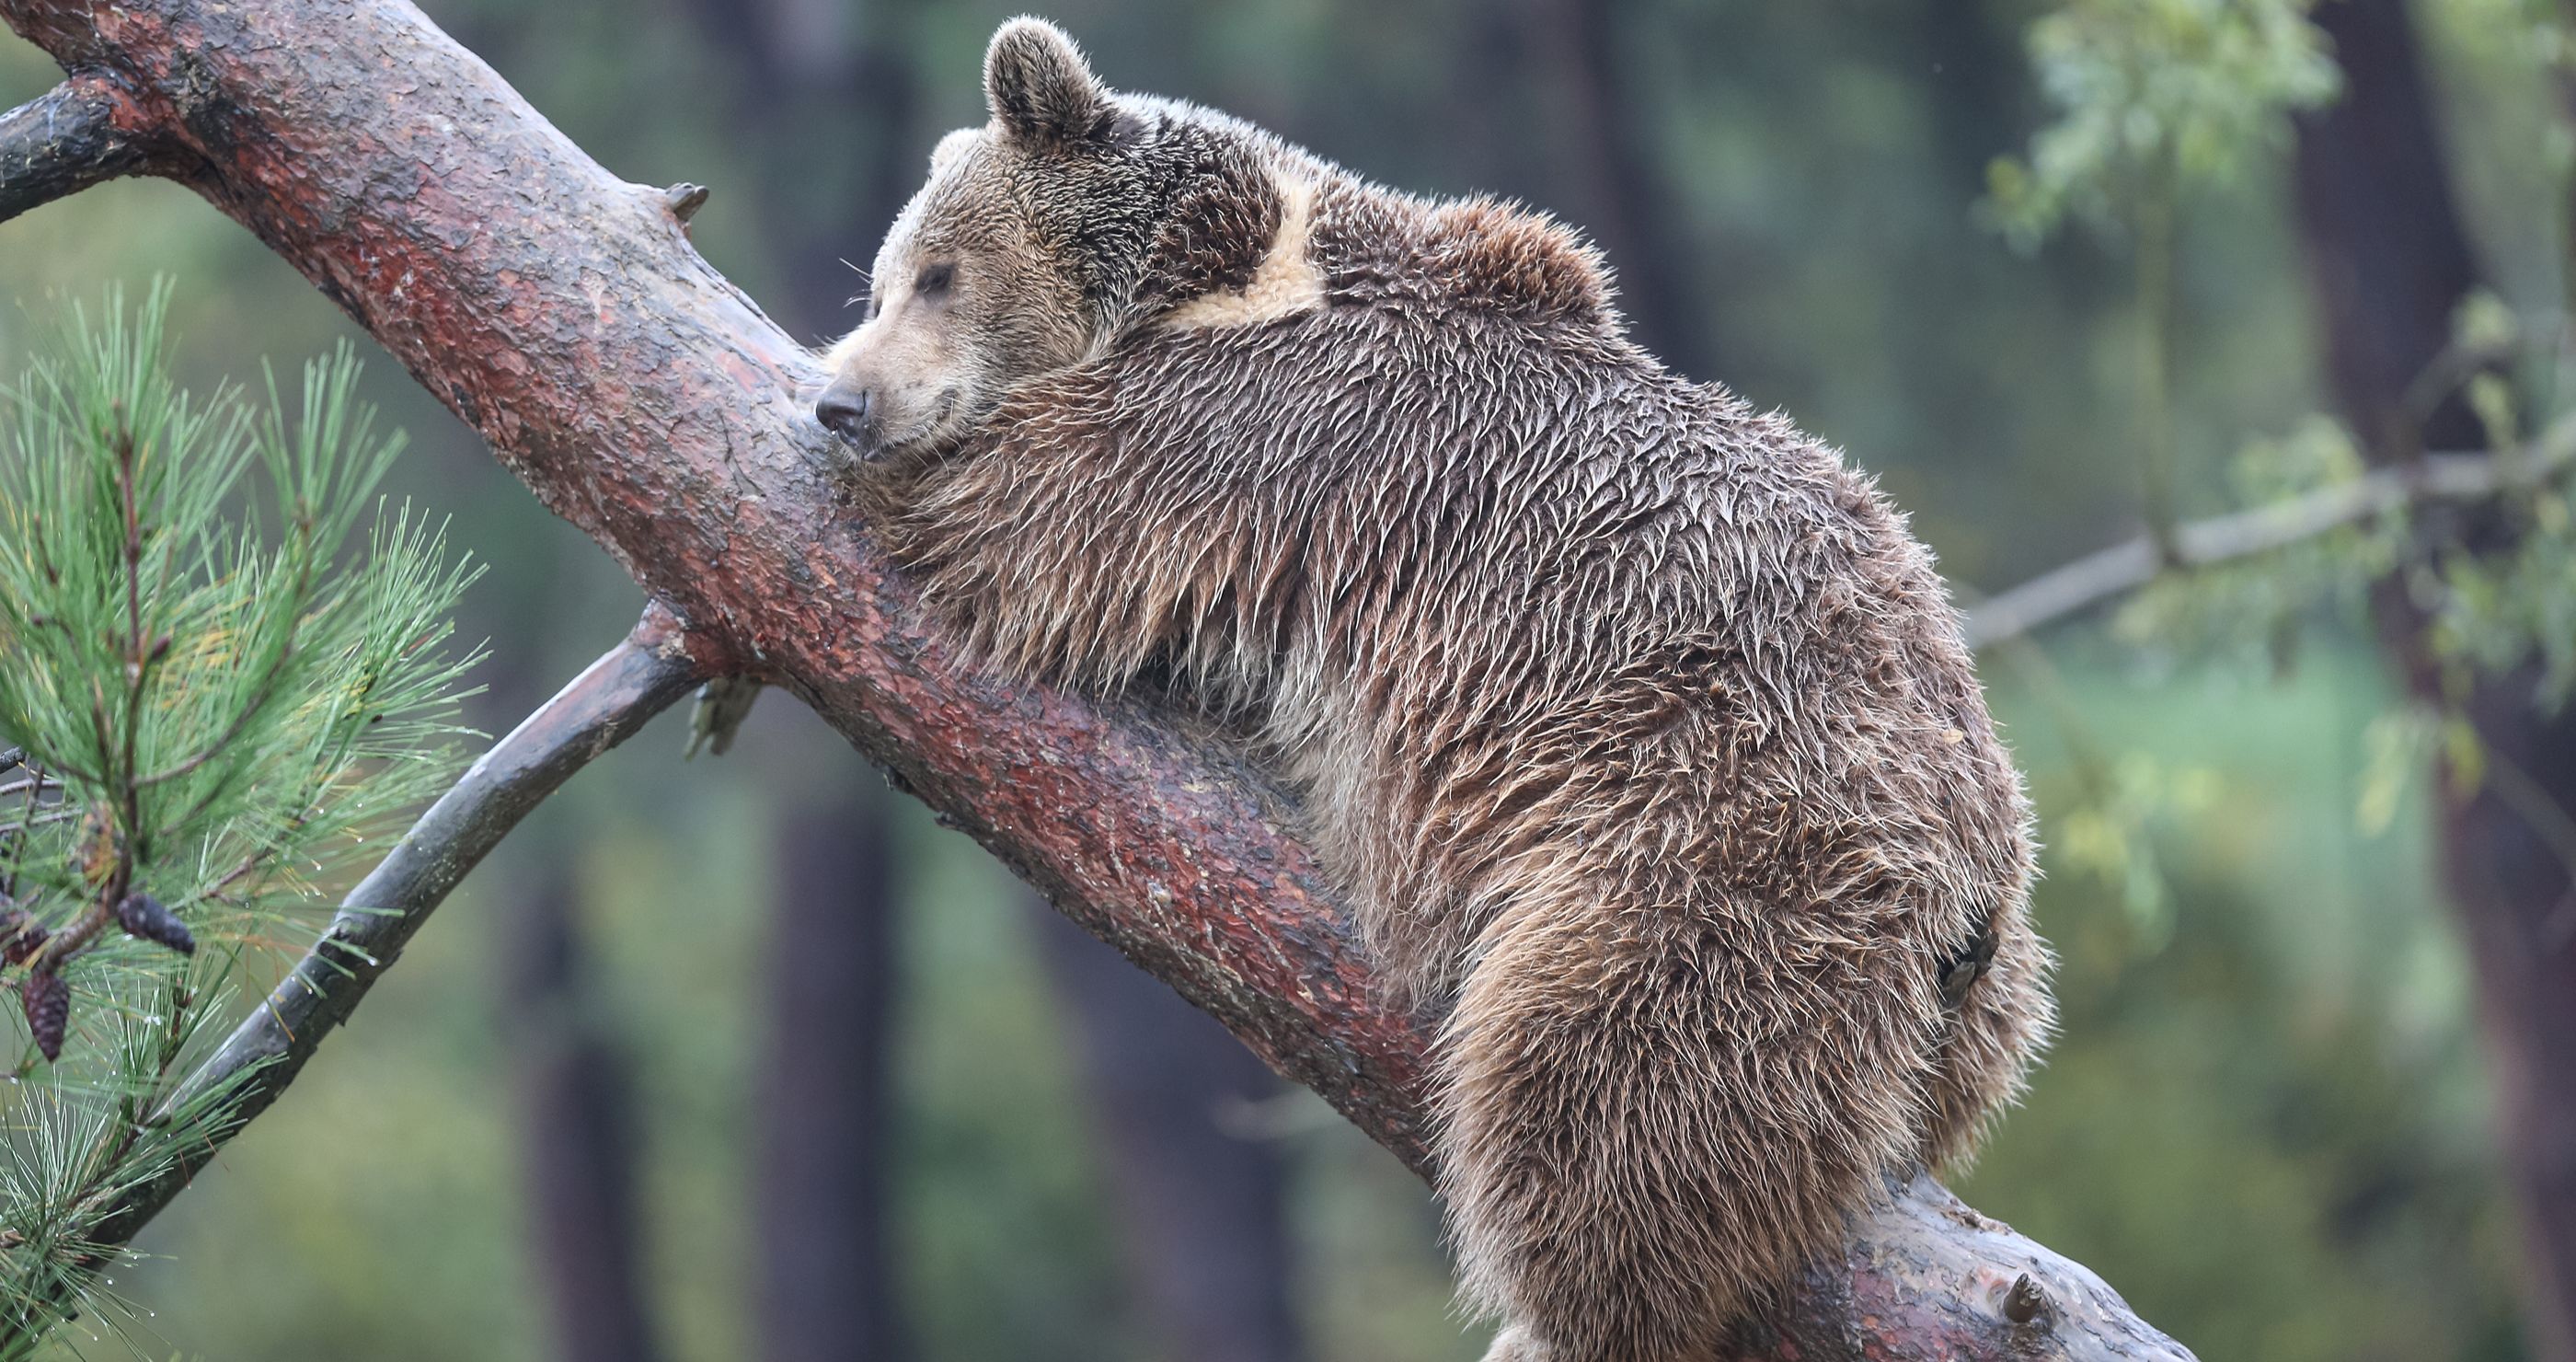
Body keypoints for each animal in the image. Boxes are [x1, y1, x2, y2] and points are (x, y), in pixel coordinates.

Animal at [815, 19, 2051, 1361]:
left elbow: (1018, 515)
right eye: (880, 282)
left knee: (1592, 1088)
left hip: (1713, 850)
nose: (844, 399)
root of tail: (1968, 882)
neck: (1224, 270)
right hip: (1979, 1000)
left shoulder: (1253, 430)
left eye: (938, 273)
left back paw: (1550, 1316)